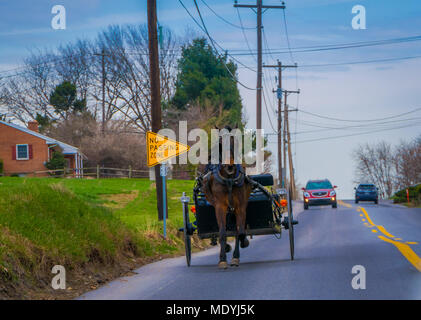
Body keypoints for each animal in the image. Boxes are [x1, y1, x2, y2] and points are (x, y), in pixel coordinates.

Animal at [201, 126, 251, 268]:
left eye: (236, 142)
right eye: (221, 143)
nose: (230, 166)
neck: (229, 179)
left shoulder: (240, 206)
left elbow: (240, 231)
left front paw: (242, 244)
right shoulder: (219, 206)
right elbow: (222, 232)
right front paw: (222, 259)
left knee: (237, 230)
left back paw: (235, 255)